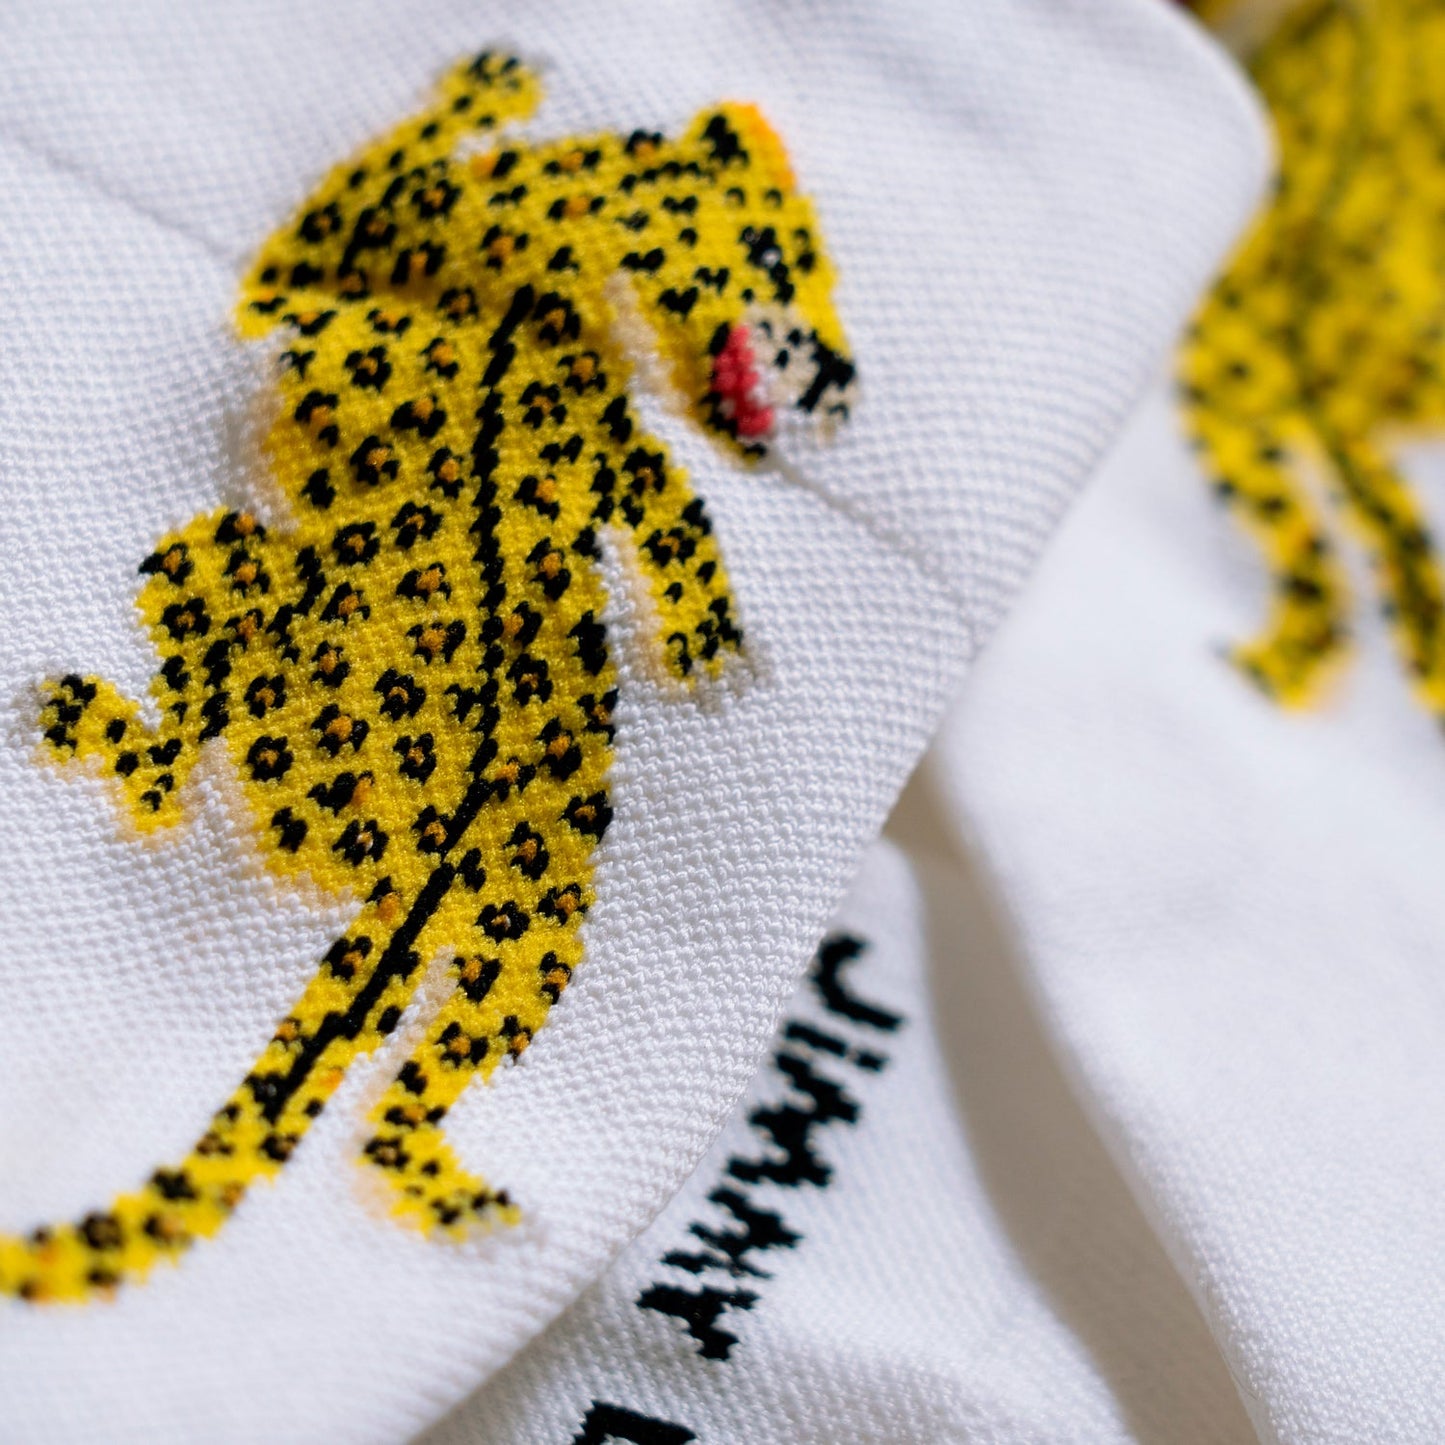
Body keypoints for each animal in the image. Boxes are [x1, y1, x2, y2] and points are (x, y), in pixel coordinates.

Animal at [0, 50, 855, 1303]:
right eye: (781, 253)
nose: (838, 378)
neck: (558, 257)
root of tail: (422, 859)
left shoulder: (306, 274)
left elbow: (363, 182)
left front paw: (481, 90)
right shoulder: (620, 437)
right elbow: (674, 516)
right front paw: (713, 649)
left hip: (221, 560)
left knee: (179, 742)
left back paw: (92, 721)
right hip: (537, 938)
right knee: (419, 1083)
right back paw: (450, 1193)